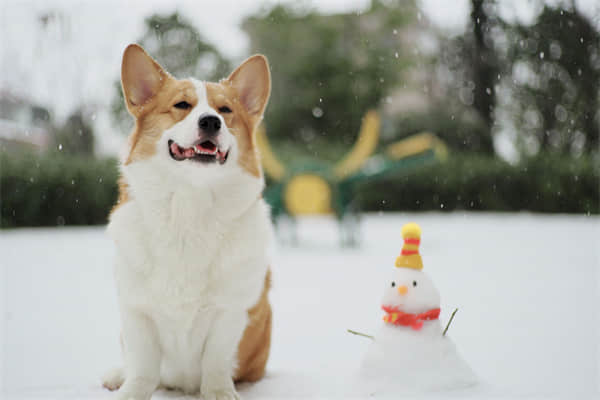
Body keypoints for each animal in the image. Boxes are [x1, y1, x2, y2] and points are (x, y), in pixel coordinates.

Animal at [102, 44, 272, 400]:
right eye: (181, 105)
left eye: (225, 109)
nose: (211, 121)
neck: (190, 203)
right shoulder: (137, 310)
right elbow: (143, 367)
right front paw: (130, 391)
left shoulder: (230, 311)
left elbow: (216, 362)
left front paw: (220, 393)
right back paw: (116, 376)